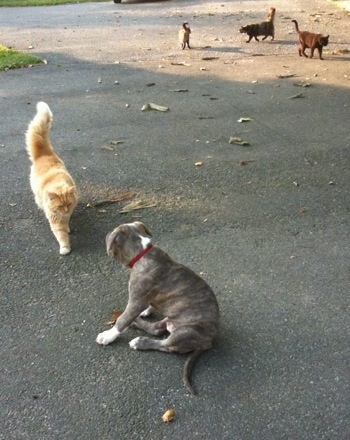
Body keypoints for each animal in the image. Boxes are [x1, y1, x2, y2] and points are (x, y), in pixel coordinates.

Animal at [25, 102, 77, 254]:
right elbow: (61, 234)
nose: (65, 211)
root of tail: (43, 154)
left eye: (69, 204)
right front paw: (65, 247)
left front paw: (68, 228)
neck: (57, 183)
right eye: (60, 206)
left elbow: (66, 225)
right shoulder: (56, 219)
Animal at [95, 222, 220, 394]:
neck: (142, 252)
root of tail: (209, 342)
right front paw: (143, 312)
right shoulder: (141, 300)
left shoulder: (136, 300)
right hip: (170, 319)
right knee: (156, 329)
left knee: (165, 345)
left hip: (187, 331)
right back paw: (136, 323)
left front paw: (108, 336)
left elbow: (123, 320)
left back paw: (140, 342)